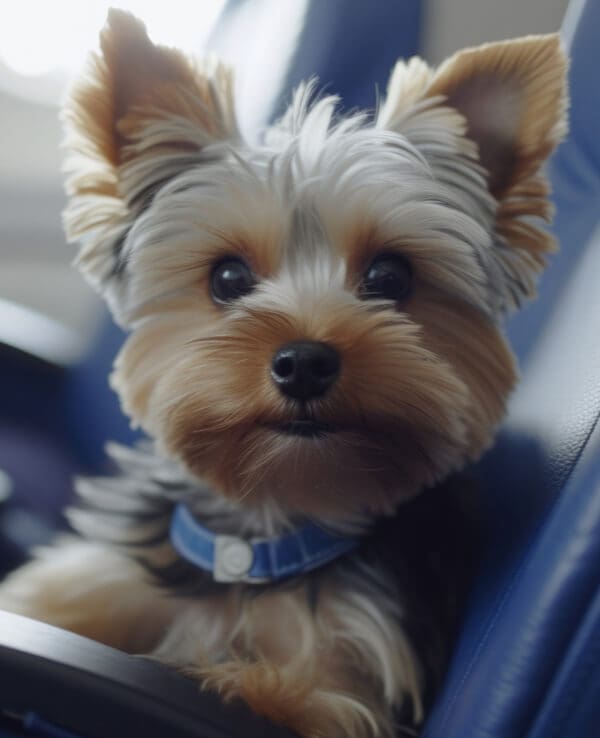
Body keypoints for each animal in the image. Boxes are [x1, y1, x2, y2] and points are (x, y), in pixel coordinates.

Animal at [0, 10, 568, 736]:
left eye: (391, 277)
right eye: (227, 278)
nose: (304, 361)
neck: (263, 540)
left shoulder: (344, 689)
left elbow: (280, 693)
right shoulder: (95, 584)